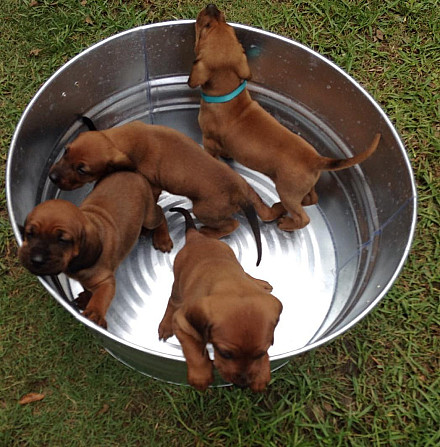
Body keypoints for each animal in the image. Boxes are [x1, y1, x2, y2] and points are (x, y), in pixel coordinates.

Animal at [18, 172, 171, 328]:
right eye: (30, 233)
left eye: (62, 240)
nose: (36, 260)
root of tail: (132, 173)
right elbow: (87, 288)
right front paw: (86, 298)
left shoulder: (106, 281)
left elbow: (99, 298)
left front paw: (94, 314)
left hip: (149, 216)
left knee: (160, 214)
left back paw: (162, 238)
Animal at [48, 121, 282, 264]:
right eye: (66, 151)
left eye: (82, 170)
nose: (52, 177)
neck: (123, 139)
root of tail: (238, 193)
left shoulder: (152, 187)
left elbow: (156, 210)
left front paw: (157, 236)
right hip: (250, 191)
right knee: (264, 212)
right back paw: (276, 210)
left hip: (204, 210)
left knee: (231, 225)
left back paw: (207, 232)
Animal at [158, 207, 282, 392]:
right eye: (225, 354)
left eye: (260, 353)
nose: (242, 384)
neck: (231, 283)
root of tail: (197, 237)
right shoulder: (182, 323)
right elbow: (194, 351)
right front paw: (201, 376)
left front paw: (261, 374)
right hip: (178, 285)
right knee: (172, 301)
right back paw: (165, 325)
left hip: (233, 257)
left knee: (245, 272)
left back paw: (260, 283)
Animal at [189, 4, 382, 231]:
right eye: (225, 24)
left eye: (206, 26)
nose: (212, 6)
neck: (228, 94)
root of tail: (316, 159)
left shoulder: (209, 141)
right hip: (304, 187)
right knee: (311, 199)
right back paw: (280, 207)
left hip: (288, 190)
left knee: (303, 217)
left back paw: (285, 224)